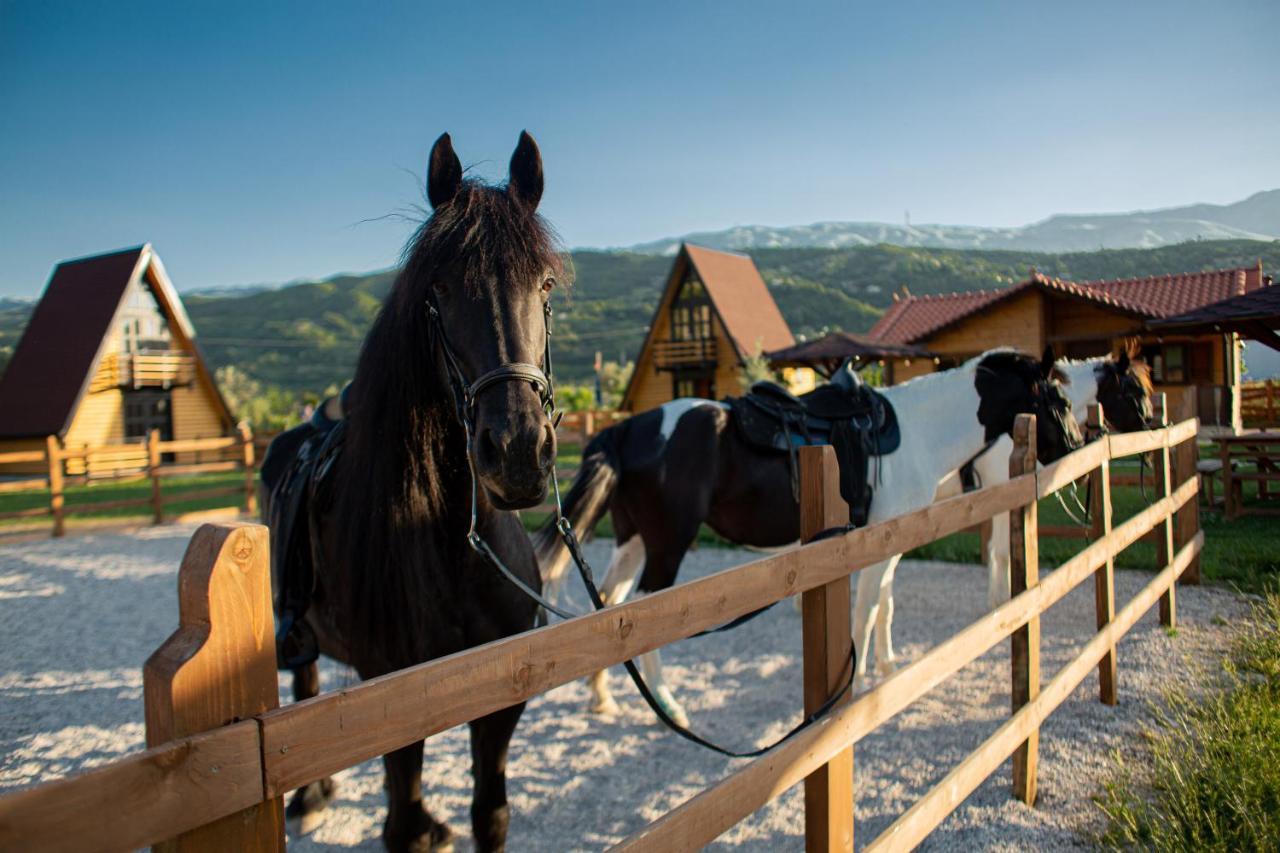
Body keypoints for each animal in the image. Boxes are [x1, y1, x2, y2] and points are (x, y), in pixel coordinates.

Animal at [259, 129, 560, 845]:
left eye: (544, 282)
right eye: (441, 287)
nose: (517, 453)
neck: (451, 551)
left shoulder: (500, 703)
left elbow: (490, 815)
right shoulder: (389, 703)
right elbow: (397, 826)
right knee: (305, 685)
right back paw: (310, 796)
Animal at [535, 345, 1085, 722]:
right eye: (1057, 397)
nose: (1079, 445)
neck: (919, 433)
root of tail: (626, 429)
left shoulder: (890, 543)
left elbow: (884, 604)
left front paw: (887, 667)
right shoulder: (873, 545)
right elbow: (866, 610)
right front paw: (856, 684)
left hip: (633, 541)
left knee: (611, 606)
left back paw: (602, 694)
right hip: (668, 545)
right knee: (643, 613)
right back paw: (668, 705)